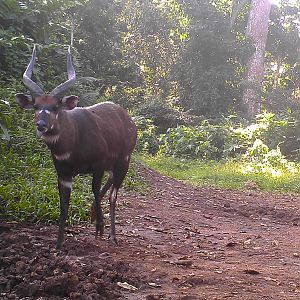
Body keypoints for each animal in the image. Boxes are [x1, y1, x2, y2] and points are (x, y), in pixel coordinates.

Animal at [15, 46, 138, 248]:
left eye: (55, 107)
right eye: (36, 106)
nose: (41, 125)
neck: (71, 145)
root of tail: (130, 120)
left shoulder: (98, 164)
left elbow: (94, 189)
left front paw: (99, 229)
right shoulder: (63, 173)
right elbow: (64, 205)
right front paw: (58, 244)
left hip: (124, 160)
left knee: (113, 195)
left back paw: (112, 235)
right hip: (113, 166)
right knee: (111, 184)